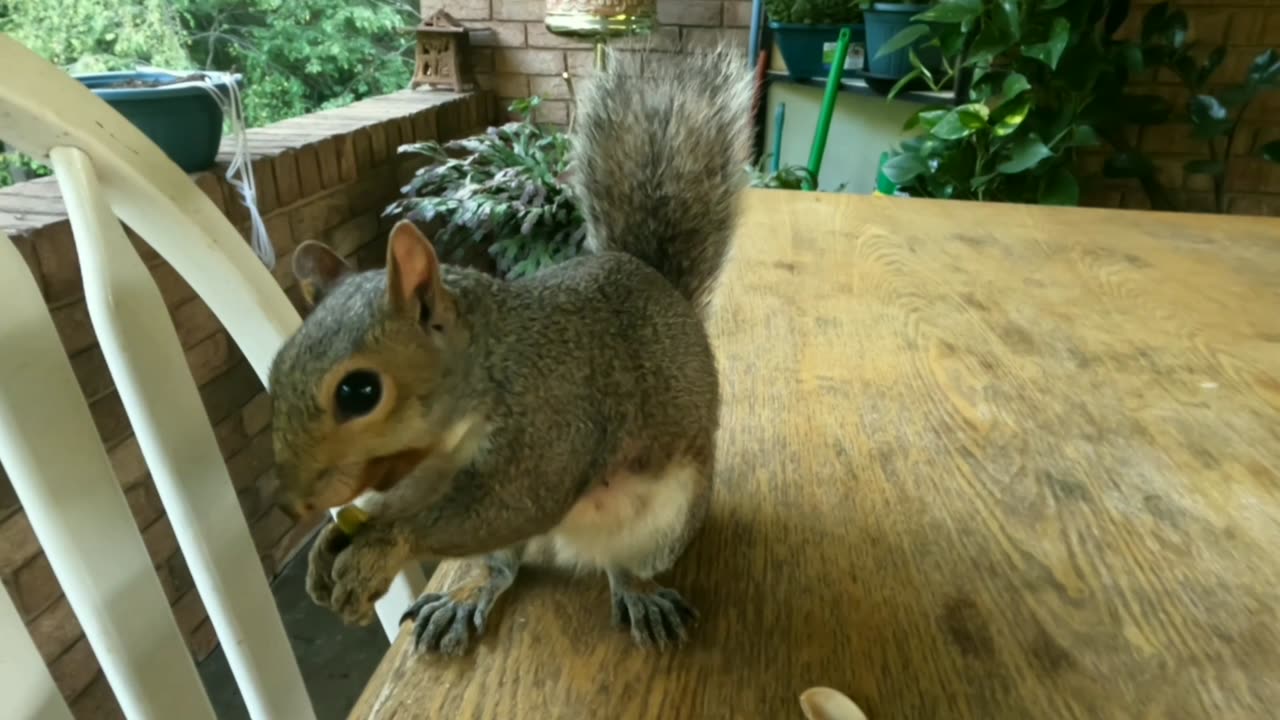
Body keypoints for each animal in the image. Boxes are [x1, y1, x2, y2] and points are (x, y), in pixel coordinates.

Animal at [266, 47, 752, 653]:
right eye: (275, 369)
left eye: (360, 392)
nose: (289, 503)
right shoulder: (425, 474)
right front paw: (329, 545)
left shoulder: (551, 424)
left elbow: (513, 503)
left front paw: (382, 547)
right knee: (503, 565)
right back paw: (465, 598)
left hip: (666, 517)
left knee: (621, 566)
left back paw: (639, 593)